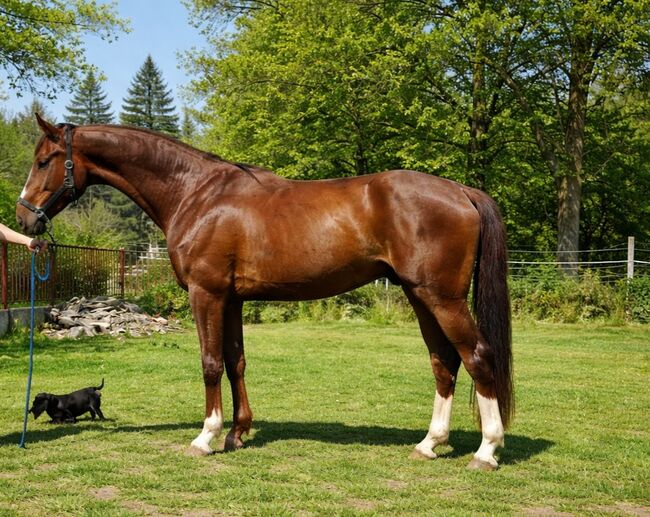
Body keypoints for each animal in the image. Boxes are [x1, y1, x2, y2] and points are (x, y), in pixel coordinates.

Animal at [17, 114, 513, 470]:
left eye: (43, 161)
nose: (23, 218)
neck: (196, 194)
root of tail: (462, 192)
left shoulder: (206, 294)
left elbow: (211, 363)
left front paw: (206, 436)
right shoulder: (232, 299)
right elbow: (235, 362)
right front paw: (238, 434)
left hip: (441, 298)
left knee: (477, 357)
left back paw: (486, 451)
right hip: (420, 296)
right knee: (444, 362)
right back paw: (429, 444)